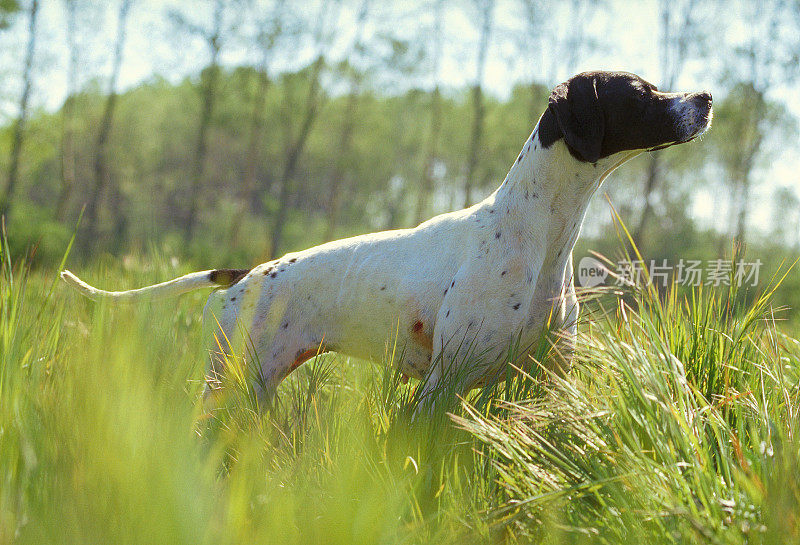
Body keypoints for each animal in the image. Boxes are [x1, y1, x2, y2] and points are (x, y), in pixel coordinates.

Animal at [64, 71, 712, 404]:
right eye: (642, 91)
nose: (706, 96)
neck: (537, 236)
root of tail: (244, 274)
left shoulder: (542, 384)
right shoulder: (443, 387)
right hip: (230, 387)